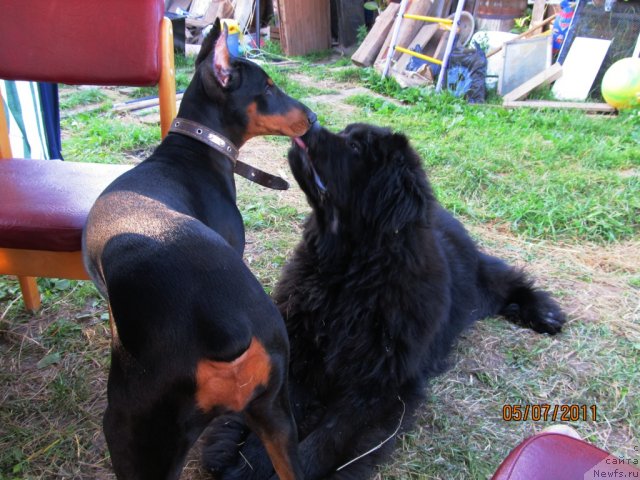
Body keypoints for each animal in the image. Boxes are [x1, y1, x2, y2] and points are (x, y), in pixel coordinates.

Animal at [81, 19, 316, 480]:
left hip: (133, 427)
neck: (192, 151)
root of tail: (224, 323)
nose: (313, 118)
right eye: (268, 86)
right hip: (276, 411)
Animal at [204, 123, 564, 480]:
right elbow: (281, 424)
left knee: (505, 279)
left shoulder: (379, 388)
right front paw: (245, 465)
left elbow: (329, 436)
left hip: (477, 284)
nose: (311, 123)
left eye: (356, 148)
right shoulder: (301, 354)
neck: (346, 277)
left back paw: (545, 313)